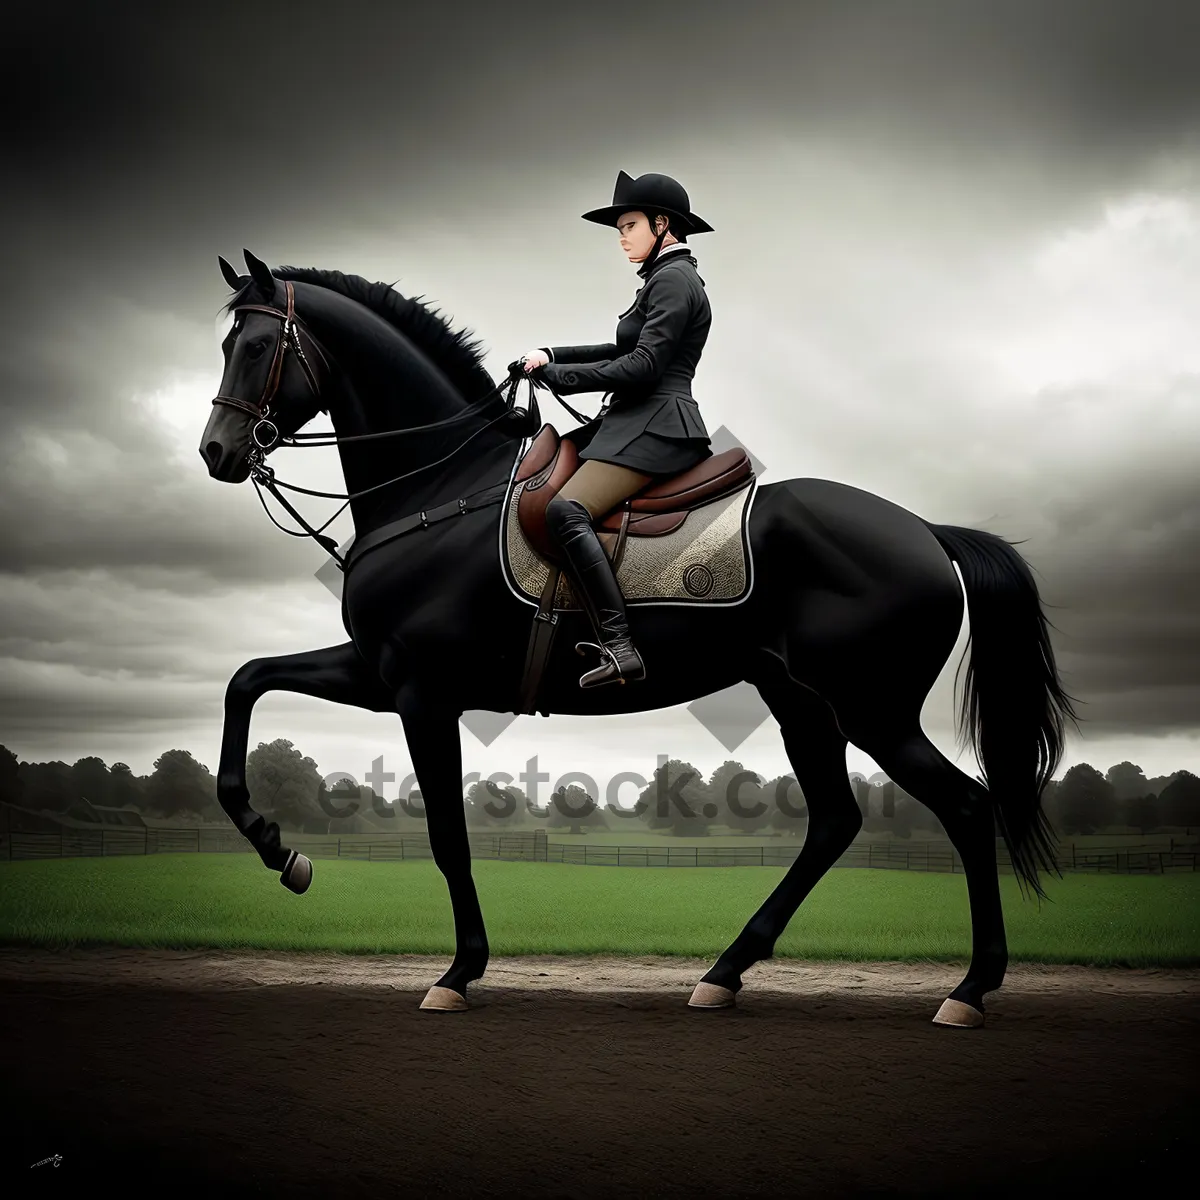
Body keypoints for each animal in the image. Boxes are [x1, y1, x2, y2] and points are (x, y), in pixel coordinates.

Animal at [196, 248, 1080, 1027]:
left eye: (257, 346)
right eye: (226, 345)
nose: (217, 453)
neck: (442, 485)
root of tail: (927, 531)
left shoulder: (420, 692)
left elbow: (448, 837)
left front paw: (458, 972)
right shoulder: (376, 673)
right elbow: (248, 681)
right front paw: (282, 853)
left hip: (874, 710)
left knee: (965, 808)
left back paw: (968, 991)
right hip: (801, 702)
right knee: (835, 821)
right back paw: (724, 975)